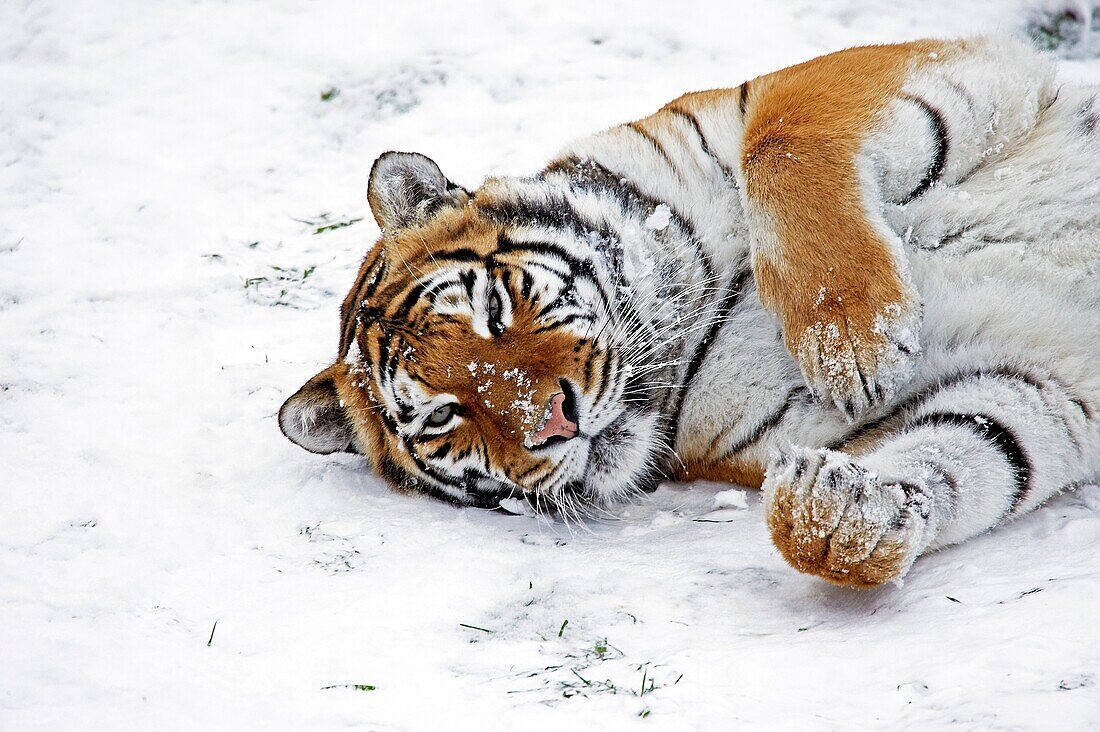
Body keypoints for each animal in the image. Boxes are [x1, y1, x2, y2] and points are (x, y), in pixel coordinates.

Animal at [279, 38, 1100, 590]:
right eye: (442, 416)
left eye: (493, 309)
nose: (556, 423)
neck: (682, 331)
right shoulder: (1035, 380)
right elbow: (970, 451)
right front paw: (840, 517)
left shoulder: (828, 83)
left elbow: (781, 144)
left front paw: (854, 340)